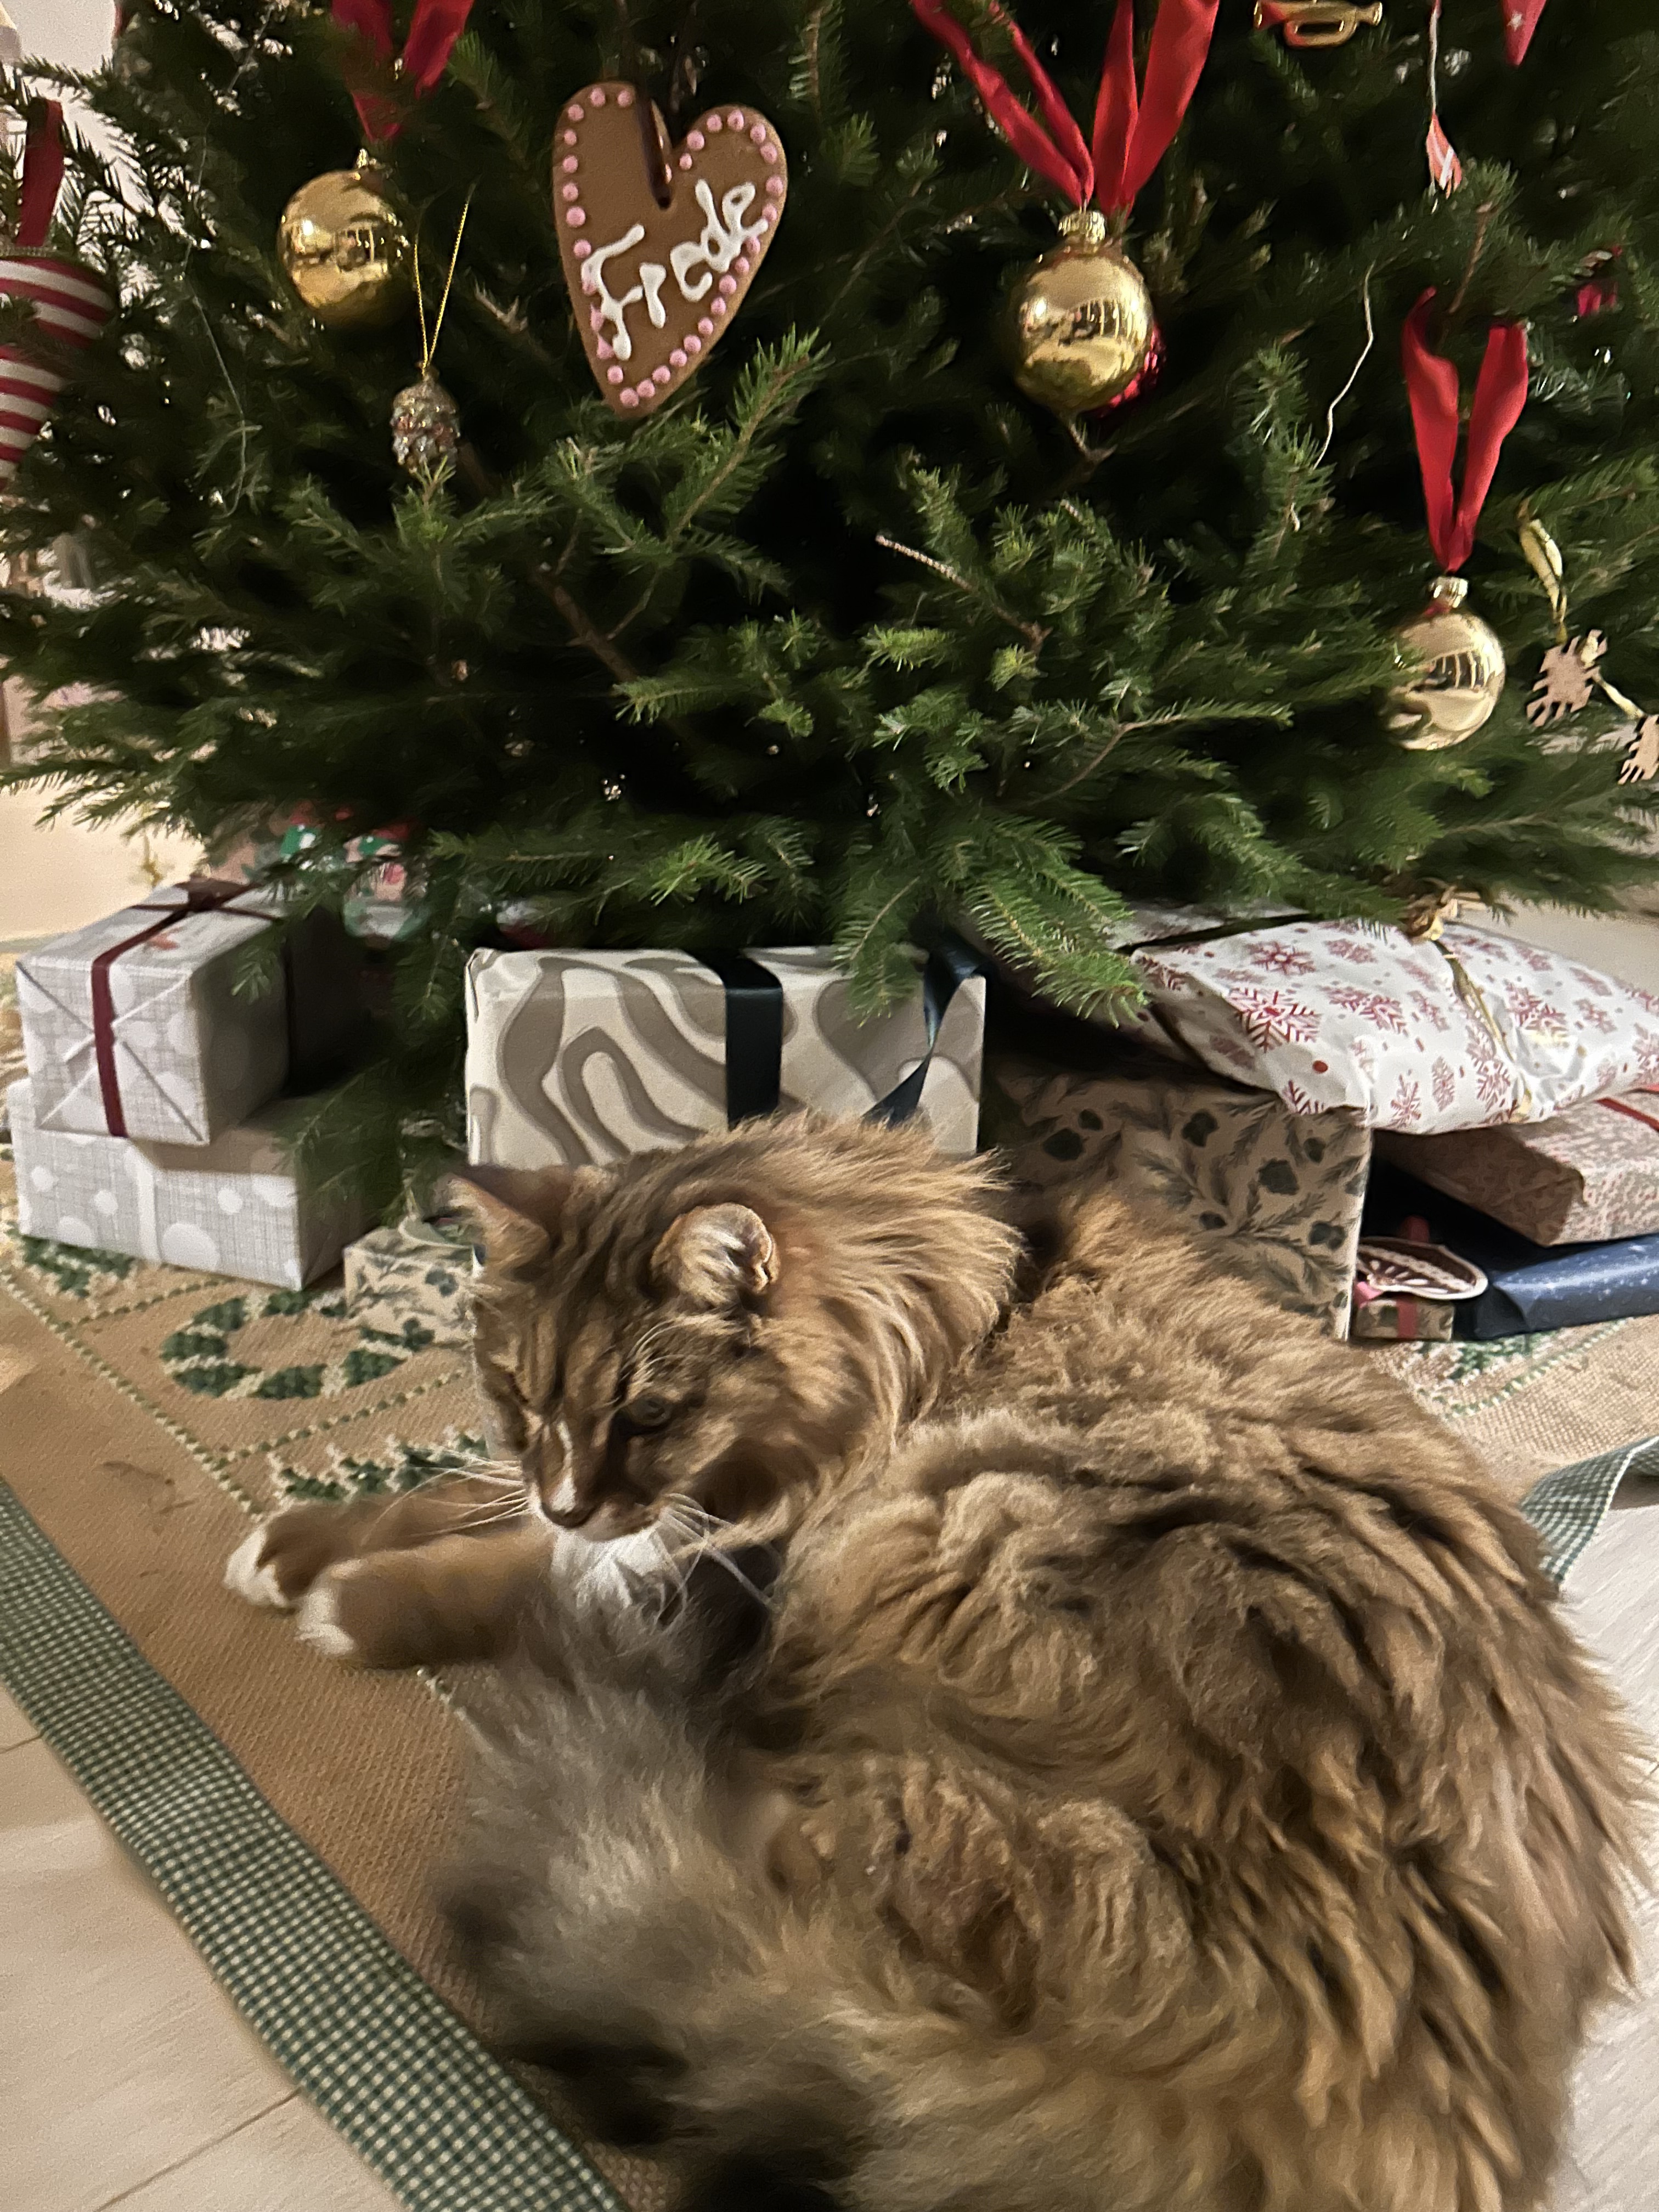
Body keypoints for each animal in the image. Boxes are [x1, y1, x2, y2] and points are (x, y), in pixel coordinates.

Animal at [228, 1113, 1645, 2212]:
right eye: (522, 1398)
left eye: (649, 1413)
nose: (574, 1491)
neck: (951, 1307)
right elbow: (459, 1500)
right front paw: (299, 1544)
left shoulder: (743, 1526)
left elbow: (520, 1567)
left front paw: (354, 1599)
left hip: (951, 1548)